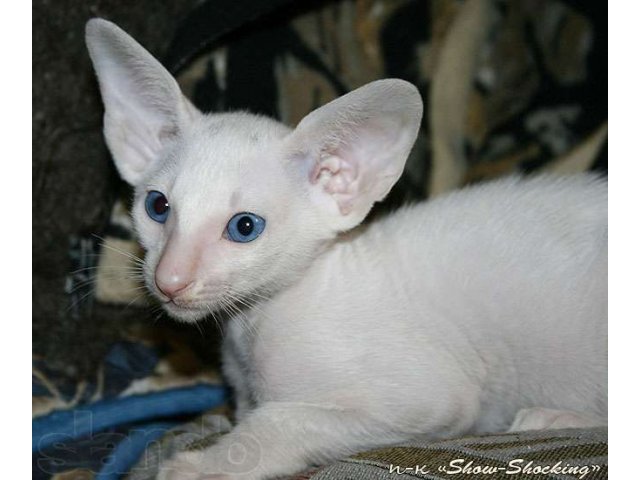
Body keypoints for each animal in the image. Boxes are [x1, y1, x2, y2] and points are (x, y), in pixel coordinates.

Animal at [87, 17, 608, 480]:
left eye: (244, 227)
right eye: (158, 207)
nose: (169, 279)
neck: (253, 327)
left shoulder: (436, 397)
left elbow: (281, 419)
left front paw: (204, 465)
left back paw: (551, 418)